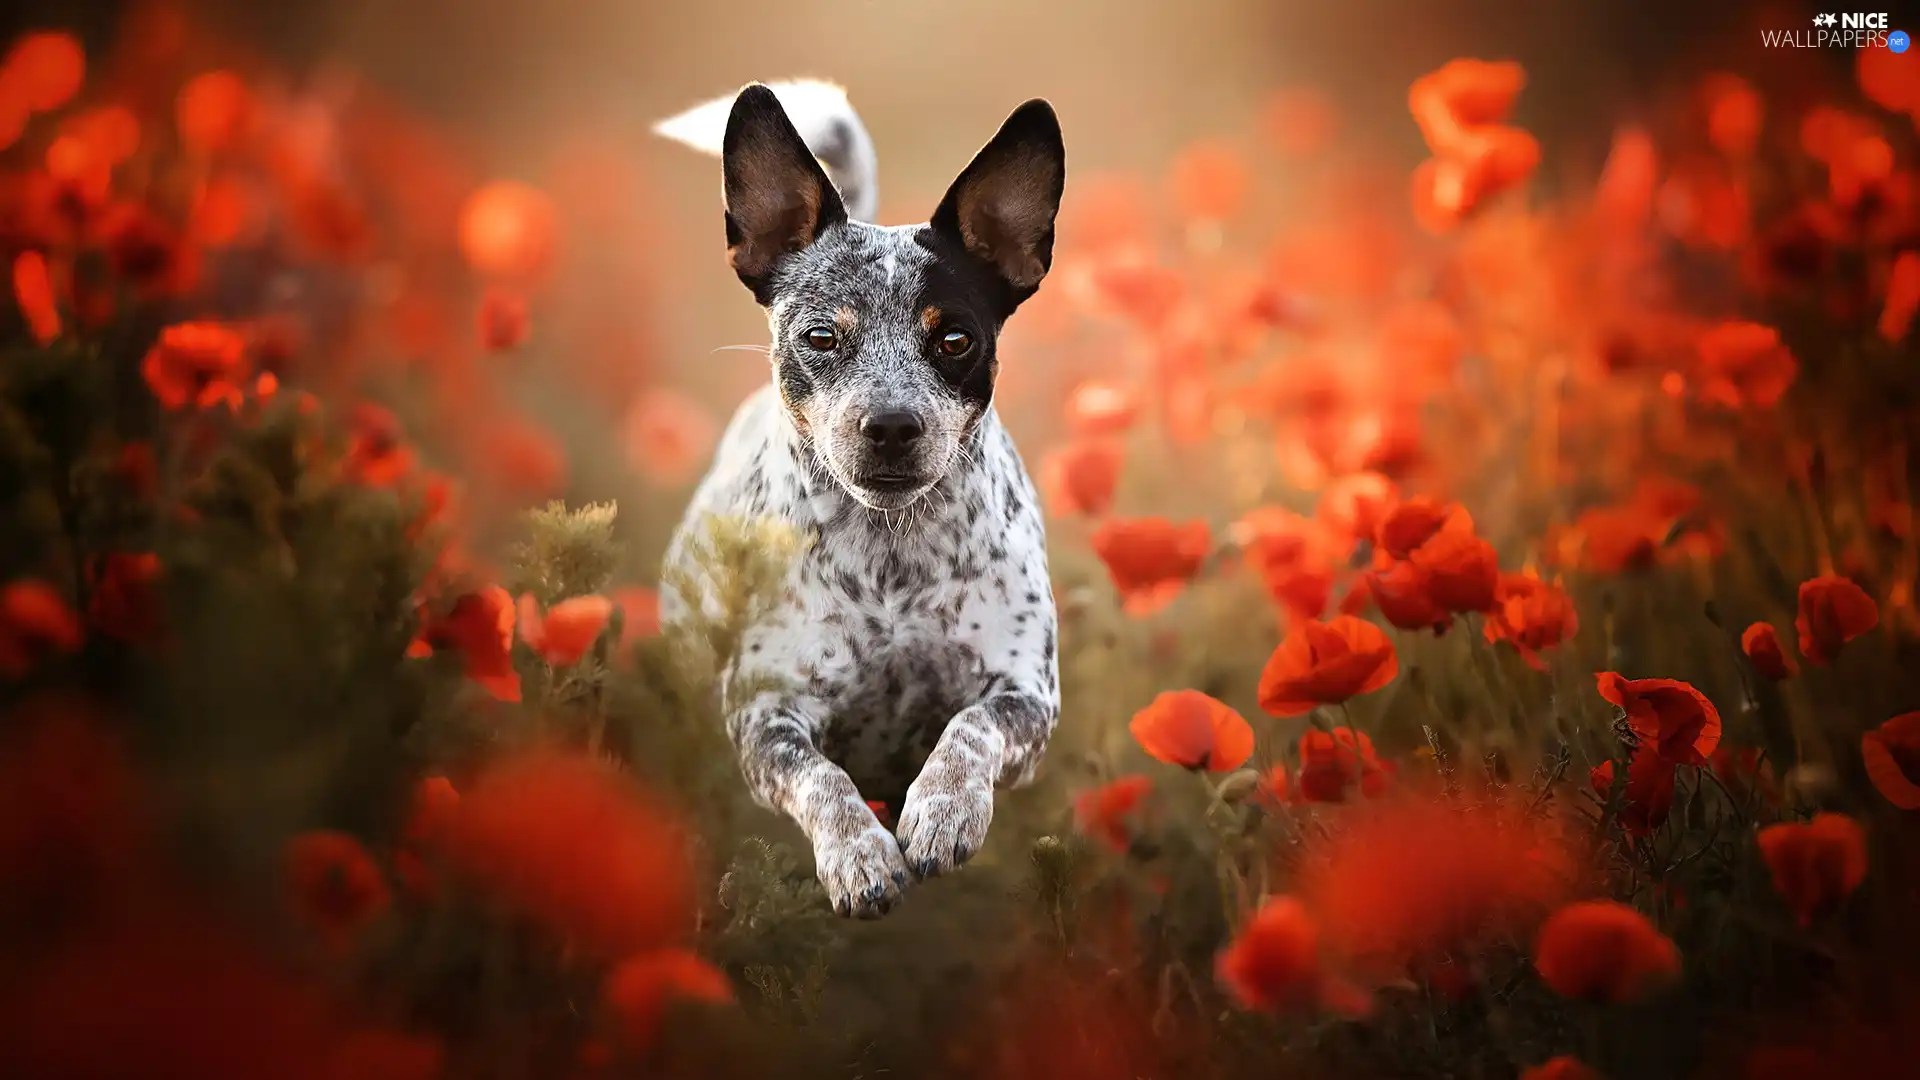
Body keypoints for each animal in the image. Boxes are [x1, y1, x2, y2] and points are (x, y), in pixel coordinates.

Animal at [652, 82, 1059, 914]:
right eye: (820, 336)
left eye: (955, 339)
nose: (892, 424)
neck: (889, 555)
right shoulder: (765, 716)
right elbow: (823, 779)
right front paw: (859, 856)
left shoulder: (1027, 694)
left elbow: (971, 728)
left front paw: (943, 811)